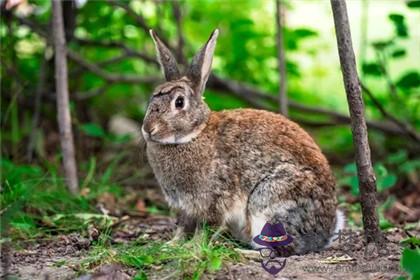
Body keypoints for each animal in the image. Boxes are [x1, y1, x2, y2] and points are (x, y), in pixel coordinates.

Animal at [142, 29, 344, 255]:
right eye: (152, 99)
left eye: (179, 102)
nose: (148, 129)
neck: (193, 135)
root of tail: (324, 233)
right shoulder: (185, 207)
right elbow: (182, 227)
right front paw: (170, 245)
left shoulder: (214, 200)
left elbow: (205, 228)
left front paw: (193, 249)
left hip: (267, 203)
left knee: (277, 249)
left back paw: (243, 252)